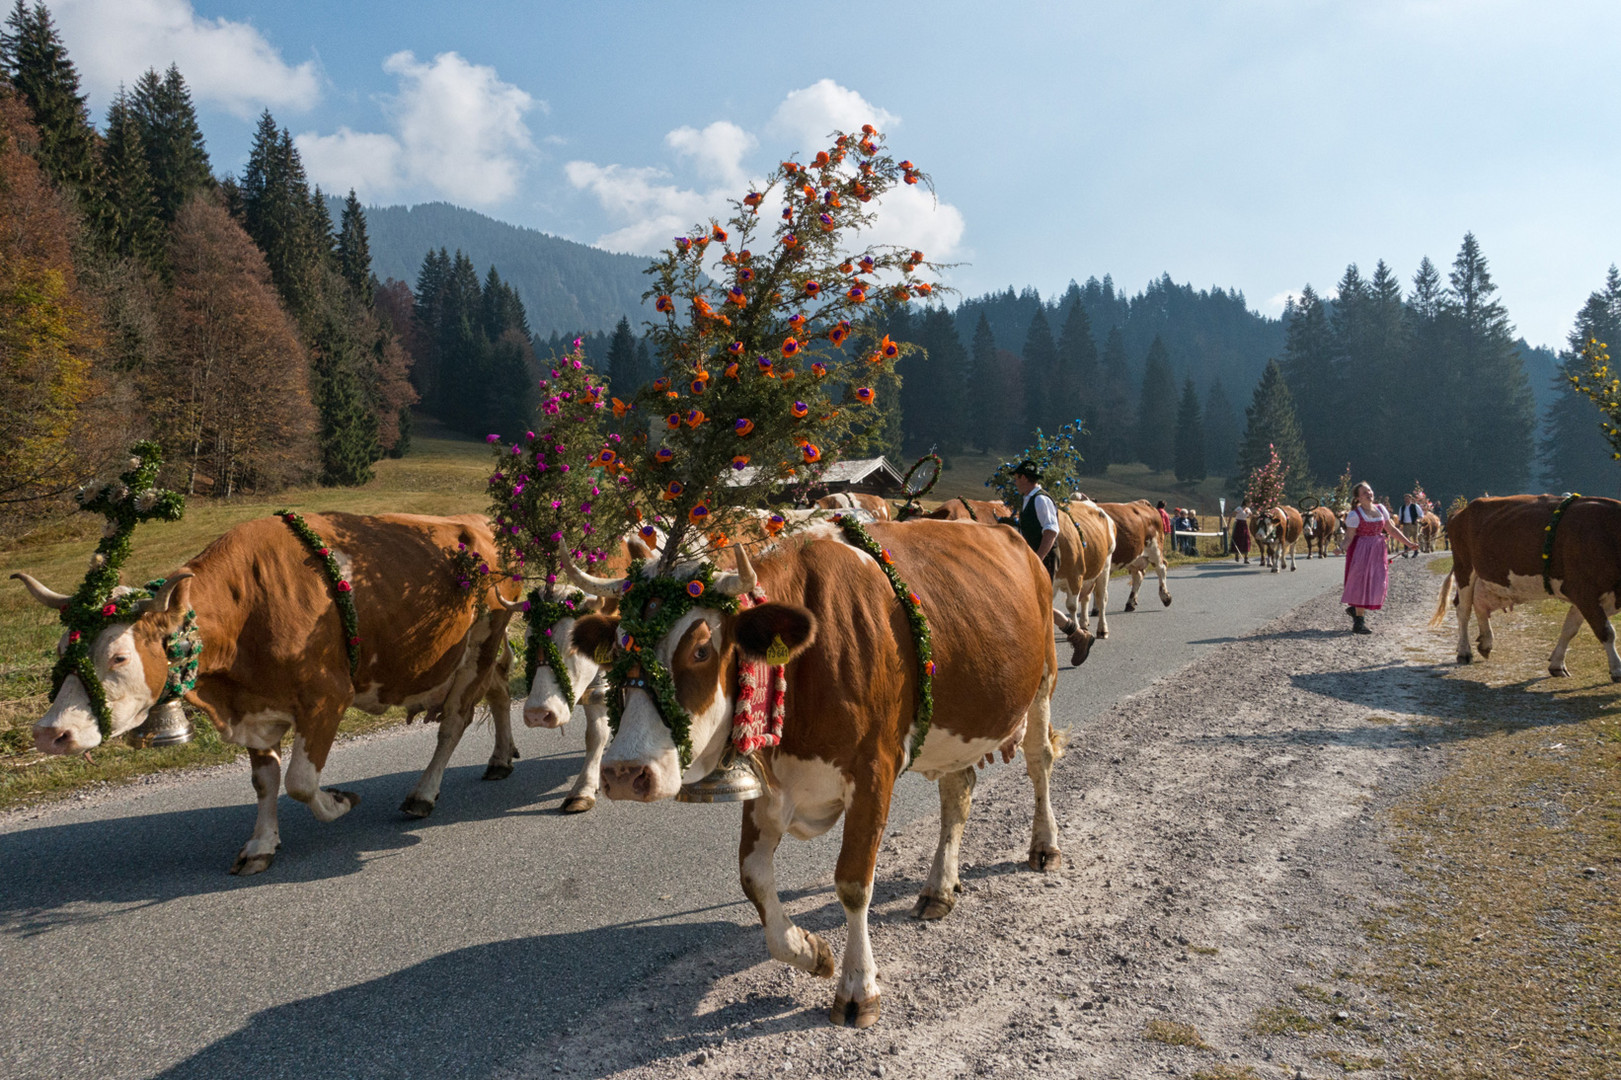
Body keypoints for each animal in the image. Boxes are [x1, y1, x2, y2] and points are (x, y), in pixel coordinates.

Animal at [14, 509, 518, 869]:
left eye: (119, 656)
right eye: (62, 648)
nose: (49, 733)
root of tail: (479, 520)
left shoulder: (326, 697)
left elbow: (300, 781)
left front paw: (339, 802)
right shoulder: (253, 708)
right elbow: (266, 781)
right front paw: (260, 844)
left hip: (481, 643)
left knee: (453, 724)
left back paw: (423, 794)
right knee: (498, 690)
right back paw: (501, 758)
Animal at [564, 518, 1056, 1024]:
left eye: (701, 650)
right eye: (620, 647)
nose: (625, 772)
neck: (804, 668)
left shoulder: (874, 771)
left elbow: (853, 883)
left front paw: (858, 989)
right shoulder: (770, 781)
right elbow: (753, 878)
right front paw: (811, 951)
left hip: (1043, 680)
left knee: (1040, 762)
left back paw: (1044, 847)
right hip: (955, 733)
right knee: (958, 791)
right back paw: (939, 888)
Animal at [1432, 492, 1621, 677]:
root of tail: (1460, 511)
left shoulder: (1591, 596)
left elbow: (1570, 628)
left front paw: (1557, 664)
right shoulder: (1582, 590)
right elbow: (1606, 631)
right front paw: (1616, 669)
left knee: (1479, 604)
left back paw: (1485, 642)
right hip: (1464, 567)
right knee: (1463, 609)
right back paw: (1464, 652)